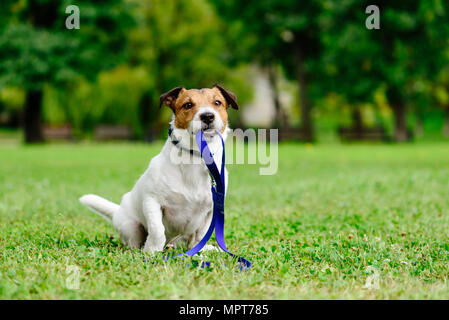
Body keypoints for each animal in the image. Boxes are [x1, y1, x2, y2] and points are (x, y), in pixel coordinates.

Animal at [79, 84, 238, 252]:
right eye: (188, 104)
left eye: (217, 102)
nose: (207, 116)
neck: (195, 157)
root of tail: (118, 211)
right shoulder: (152, 201)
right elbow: (157, 230)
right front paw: (152, 251)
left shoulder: (212, 209)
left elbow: (200, 236)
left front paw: (198, 251)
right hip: (131, 226)